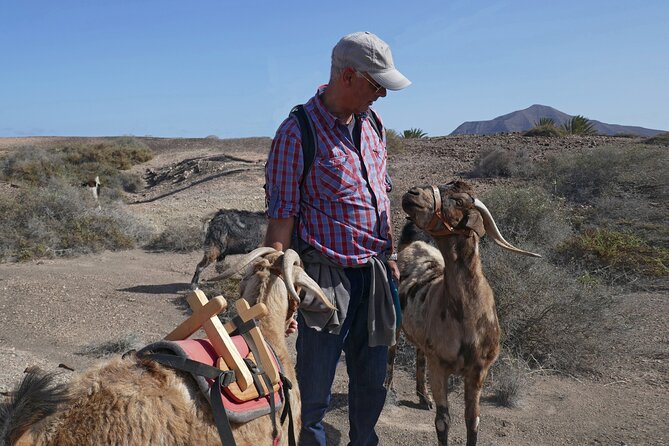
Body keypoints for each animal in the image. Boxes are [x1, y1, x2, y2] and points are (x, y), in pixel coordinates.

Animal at [392, 180, 540, 446]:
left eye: (459, 200)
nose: (412, 194)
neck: (467, 315)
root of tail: (410, 244)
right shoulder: (439, 366)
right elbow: (443, 421)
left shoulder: (478, 371)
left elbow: (473, 420)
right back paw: (390, 390)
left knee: (419, 354)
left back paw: (423, 397)